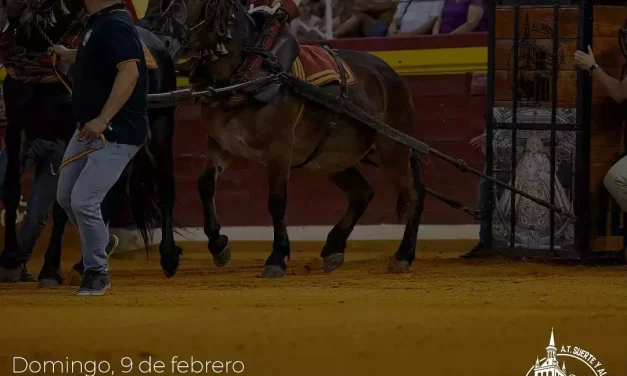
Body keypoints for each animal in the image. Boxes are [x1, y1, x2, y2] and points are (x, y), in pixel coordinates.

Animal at [178, 0, 426, 276]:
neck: (247, 72)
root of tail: (392, 76)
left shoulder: (279, 150)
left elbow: (277, 201)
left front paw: (277, 257)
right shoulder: (220, 144)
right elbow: (205, 185)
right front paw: (218, 244)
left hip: (393, 150)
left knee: (414, 194)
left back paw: (403, 254)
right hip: (331, 158)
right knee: (362, 192)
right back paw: (334, 247)